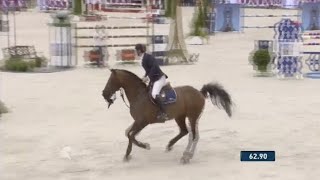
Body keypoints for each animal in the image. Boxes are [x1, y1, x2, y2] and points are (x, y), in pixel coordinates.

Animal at [102, 68, 232, 164]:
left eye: (110, 81)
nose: (103, 94)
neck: (138, 95)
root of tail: (199, 92)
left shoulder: (142, 122)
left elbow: (131, 135)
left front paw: (144, 146)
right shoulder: (137, 121)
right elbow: (128, 133)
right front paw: (128, 154)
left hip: (192, 117)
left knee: (193, 135)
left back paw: (186, 156)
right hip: (180, 117)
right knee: (185, 132)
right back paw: (171, 146)